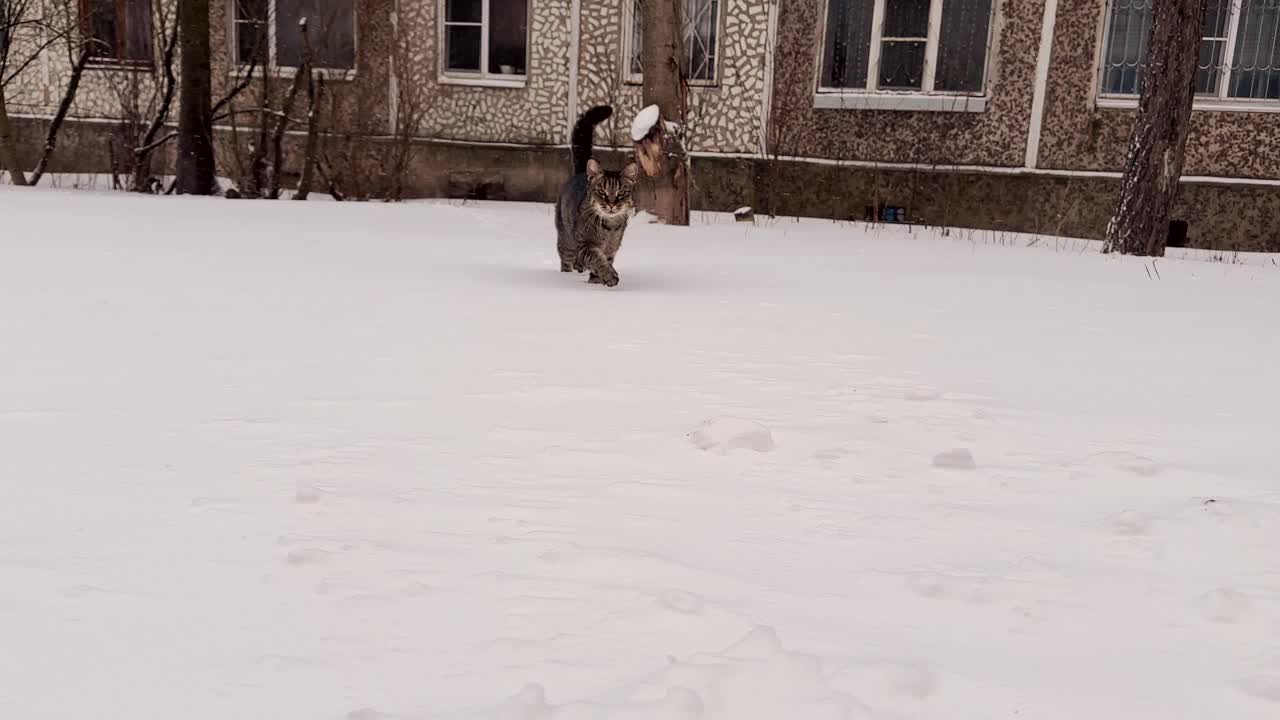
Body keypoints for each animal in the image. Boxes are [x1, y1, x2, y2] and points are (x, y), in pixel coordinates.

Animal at [558, 105, 640, 284]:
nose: (611, 204)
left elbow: (604, 261)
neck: (609, 227)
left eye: (621, 192)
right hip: (567, 241)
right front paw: (608, 275)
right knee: (566, 260)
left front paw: (596, 280)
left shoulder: (612, 249)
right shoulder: (584, 245)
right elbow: (596, 258)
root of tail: (581, 173)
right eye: (602, 191)